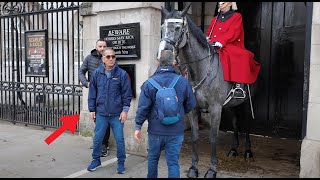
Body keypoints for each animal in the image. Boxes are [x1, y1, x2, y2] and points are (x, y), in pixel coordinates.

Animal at [159, 4, 258, 179]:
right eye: (162, 28)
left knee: (246, 125)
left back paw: (247, 151)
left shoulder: (215, 108)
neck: (200, 69)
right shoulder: (194, 109)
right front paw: (194, 168)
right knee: (235, 122)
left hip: (246, 104)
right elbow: (195, 136)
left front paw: (212, 170)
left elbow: (213, 137)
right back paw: (233, 149)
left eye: (178, 28)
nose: (164, 55)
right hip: (230, 105)